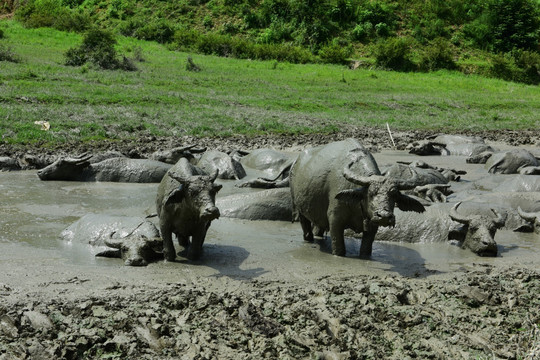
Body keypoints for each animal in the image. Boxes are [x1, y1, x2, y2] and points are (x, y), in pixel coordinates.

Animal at [288, 139, 424, 258]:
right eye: (371, 193)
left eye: (394, 195)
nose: (384, 216)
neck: (357, 203)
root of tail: (296, 163)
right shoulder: (335, 219)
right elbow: (338, 248)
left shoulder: (372, 223)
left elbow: (366, 249)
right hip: (299, 208)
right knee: (306, 229)